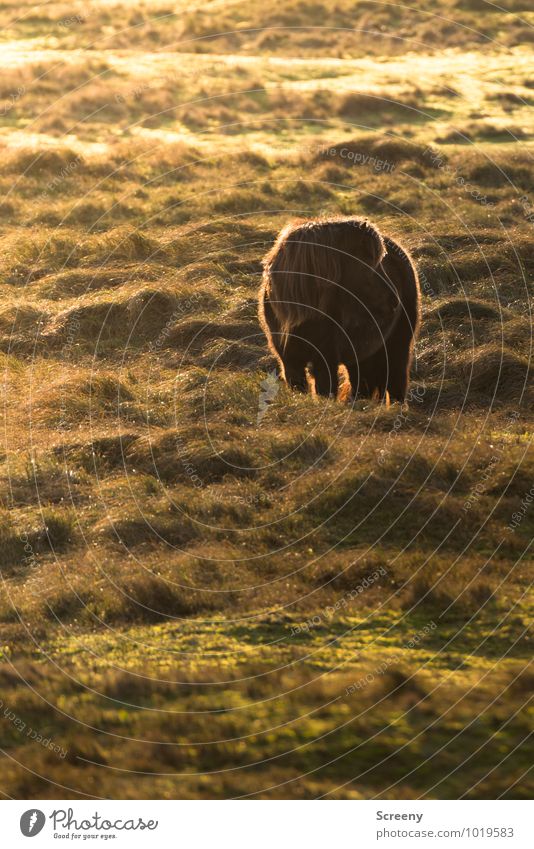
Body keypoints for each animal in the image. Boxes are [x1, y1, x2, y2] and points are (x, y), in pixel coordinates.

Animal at [260, 219, 422, 404]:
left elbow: (325, 389)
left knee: (396, 382)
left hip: (397, 346)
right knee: (364, 383)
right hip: (364, 354)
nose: (394, 301)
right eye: (369, 264)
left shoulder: (325, 358)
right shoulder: (289, 359)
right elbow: (298, 386)